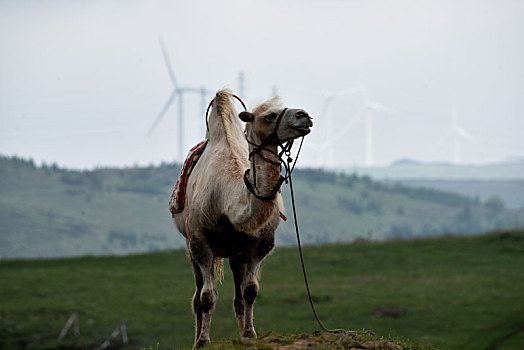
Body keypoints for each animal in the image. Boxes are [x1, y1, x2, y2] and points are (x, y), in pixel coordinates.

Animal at [172, 89, 312, 348]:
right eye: (269, 116)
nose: (304, 115)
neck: (227, 200)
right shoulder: (200, 241)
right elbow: (207, 296)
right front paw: (203, 341)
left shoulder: (261, 244)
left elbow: (250, 290)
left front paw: (250, 334)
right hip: (191, 246)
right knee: (197, 296)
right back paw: (196, 339)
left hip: (238, 254)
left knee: (238, 296)